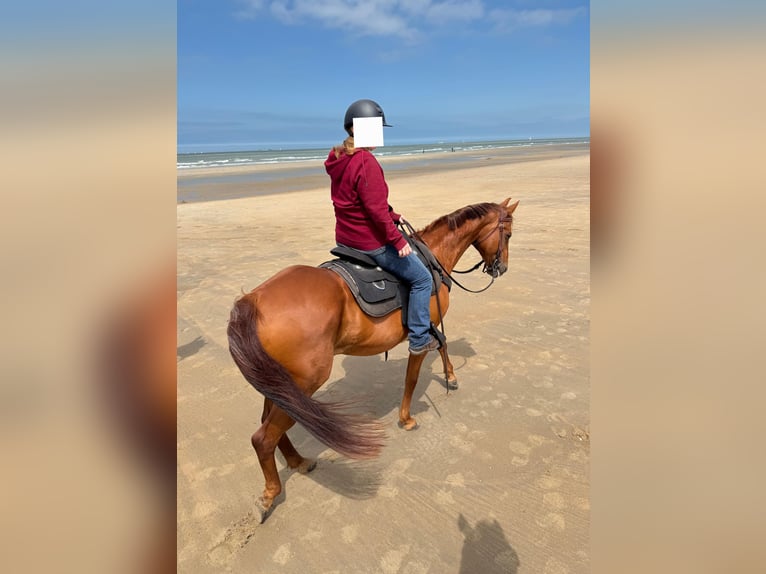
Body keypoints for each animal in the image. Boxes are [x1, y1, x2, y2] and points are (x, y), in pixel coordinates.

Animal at [227, 198, 519, 522]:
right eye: (507, 234)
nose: (502, 268)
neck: (432, 257)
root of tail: (252, 301)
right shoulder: (422, 331)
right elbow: (413, 376)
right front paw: (406, 418)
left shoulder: (431, 325)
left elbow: (442, 344)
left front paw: (451, 377)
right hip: (303, 382)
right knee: (263, 438)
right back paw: (269, 495)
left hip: (279, 383)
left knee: (269, 425)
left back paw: (298, 461)